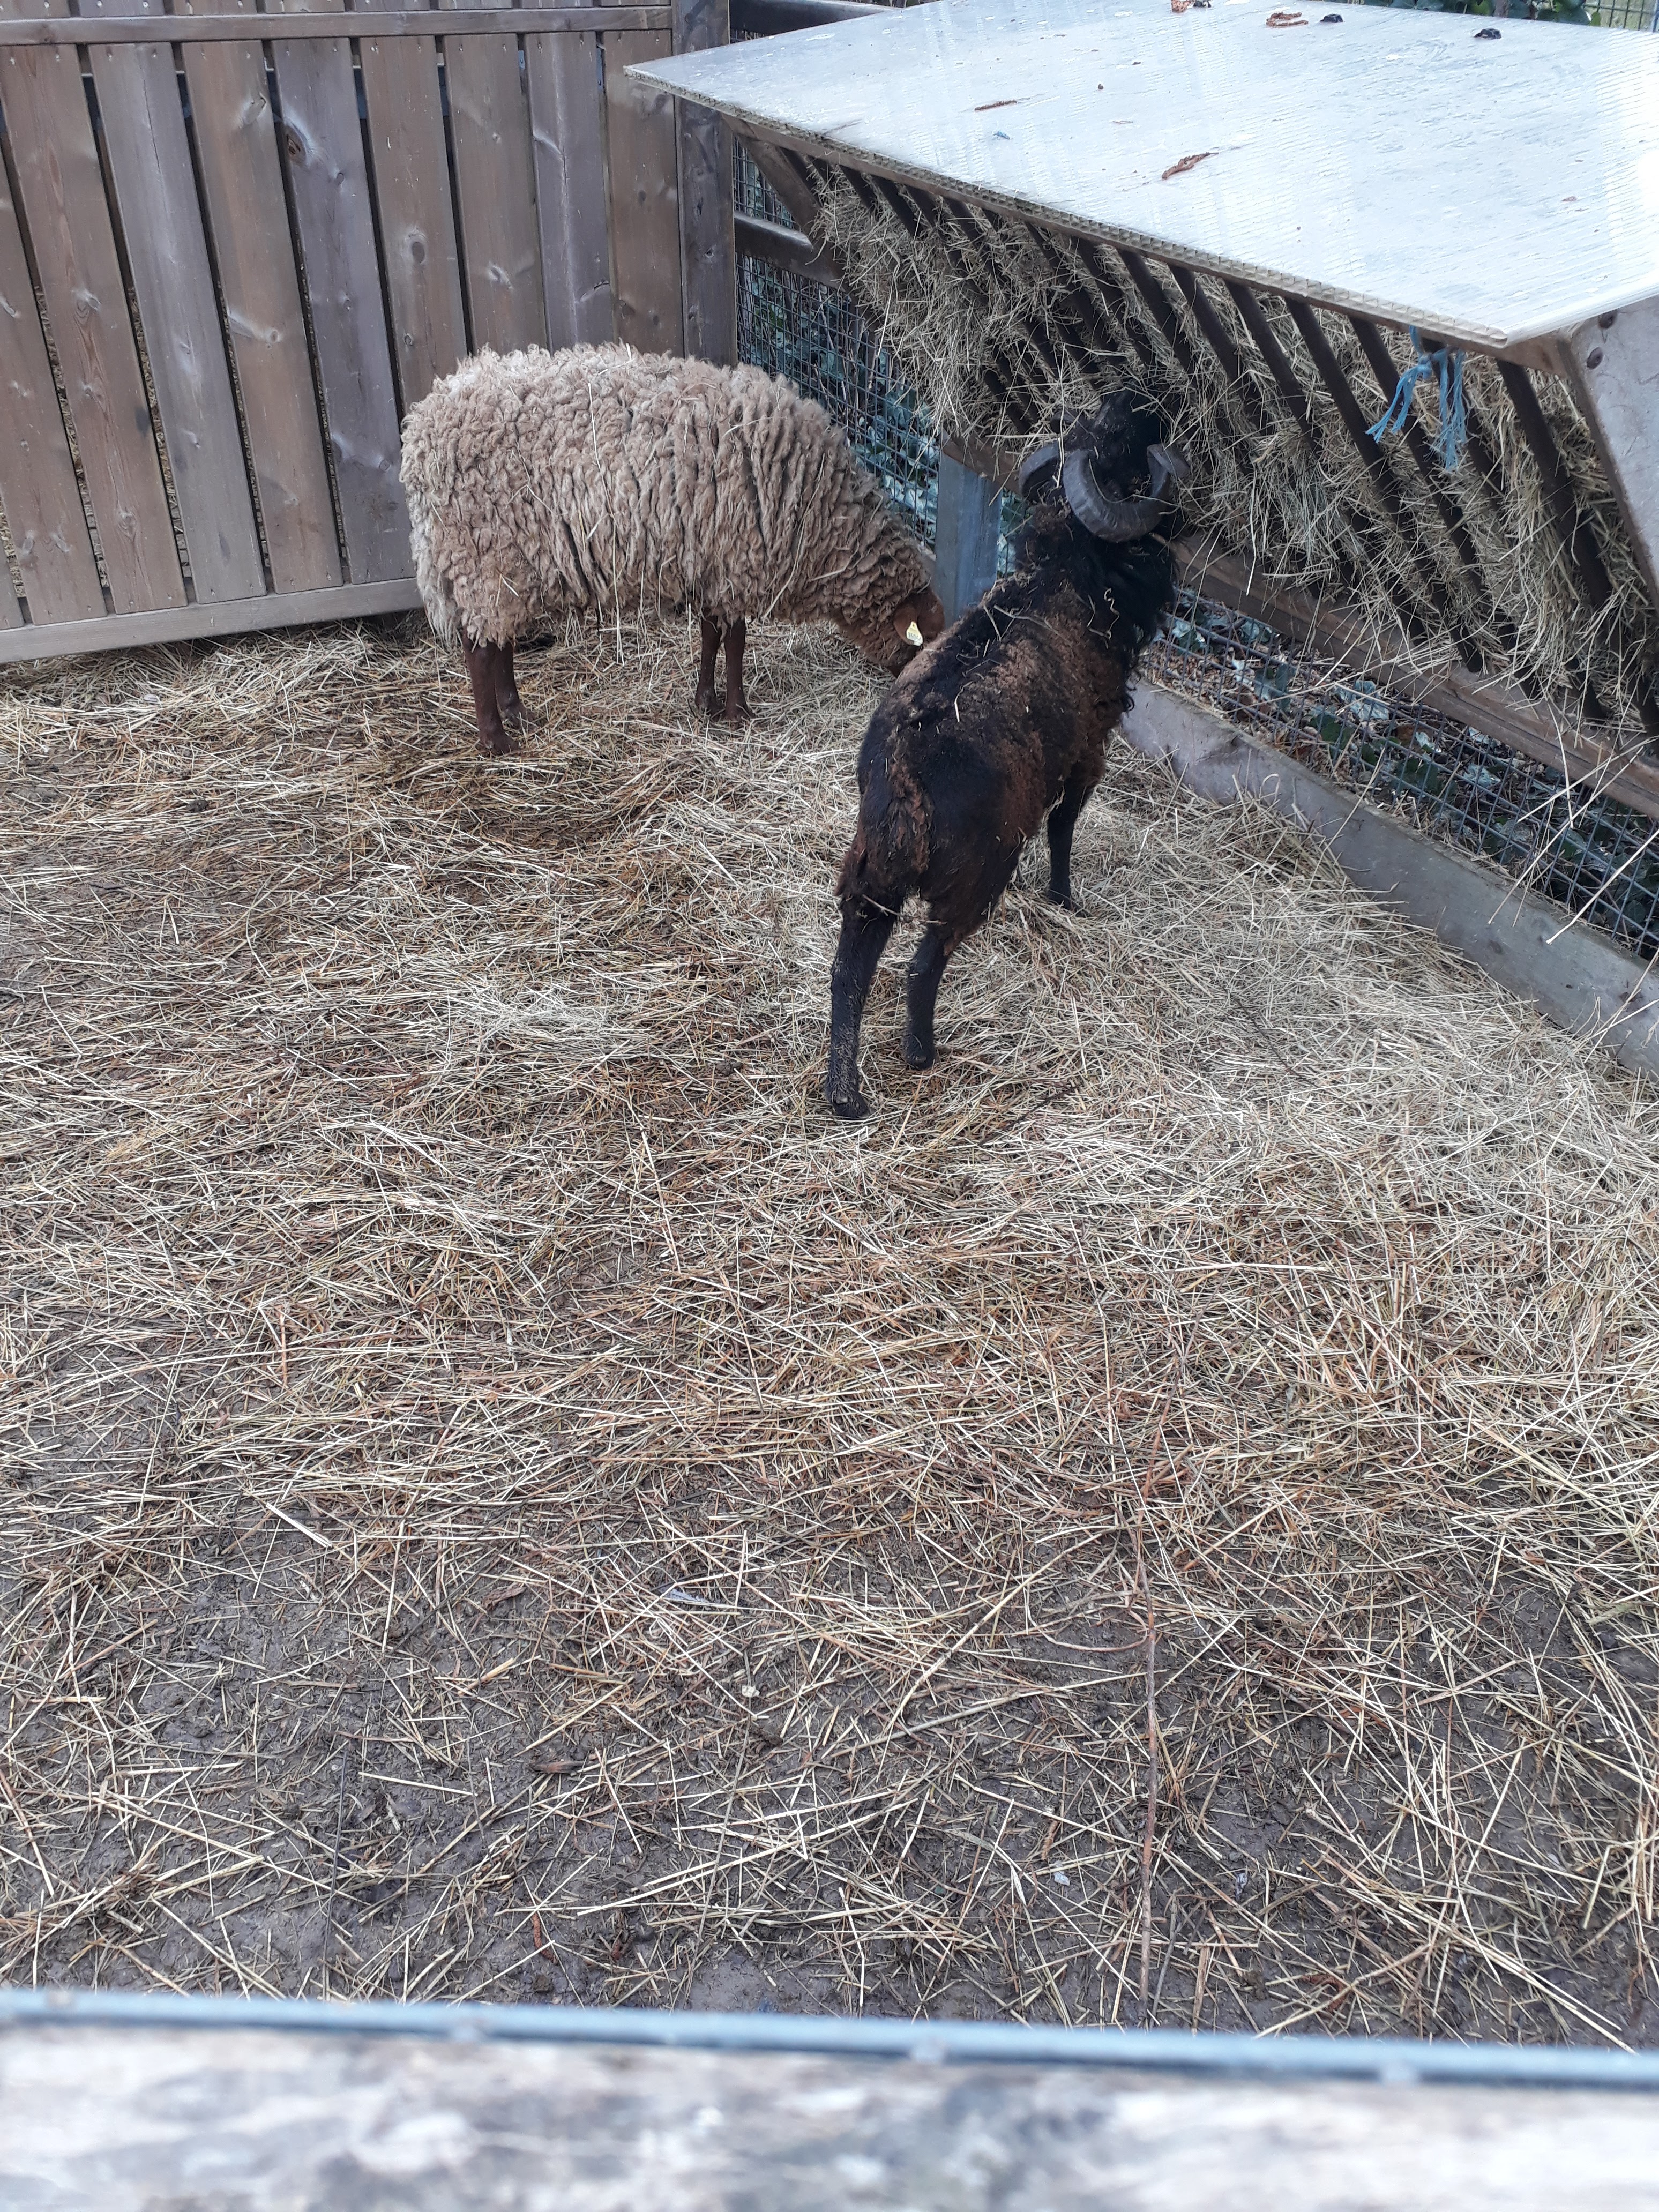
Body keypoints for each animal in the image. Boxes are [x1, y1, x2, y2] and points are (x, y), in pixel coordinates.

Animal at [399, 344, 944, 755]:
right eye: (928, 643)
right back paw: (496, 739)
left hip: (507, 565)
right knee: (479, 651)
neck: (820, 509)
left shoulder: (709, 560)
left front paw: (706, 701)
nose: (915, 707)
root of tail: (422, 434)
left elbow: (711, 635)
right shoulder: (734, 561)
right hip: (481, 557)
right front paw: (739, 712)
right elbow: (735, 641)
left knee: (499, 644)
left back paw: (517, 712)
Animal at [823, 392, 1186, 1120]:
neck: (1068, 577)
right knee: (923, 962)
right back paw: (920, 1052)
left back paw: (845, 1093)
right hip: (973, 872)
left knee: (851, 965)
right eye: (1131, 460)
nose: (1156, 408)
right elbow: (1065, 827)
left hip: (873, 865)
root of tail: (903, 777)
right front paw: (1065, 898)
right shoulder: (1090, 751)